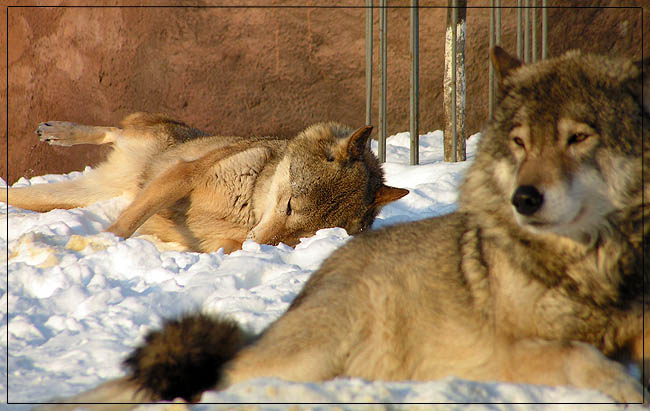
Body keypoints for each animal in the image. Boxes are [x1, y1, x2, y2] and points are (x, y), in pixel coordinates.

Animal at [45, 46, 649, 407]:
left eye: (302, 238)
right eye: (290, 209)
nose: (263, 247)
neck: (250, 204)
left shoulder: (227, 235)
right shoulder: (183, 177)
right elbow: (126, 223)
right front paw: (98, 244)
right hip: (141, 146)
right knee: (110, 134)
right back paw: (55, 131)